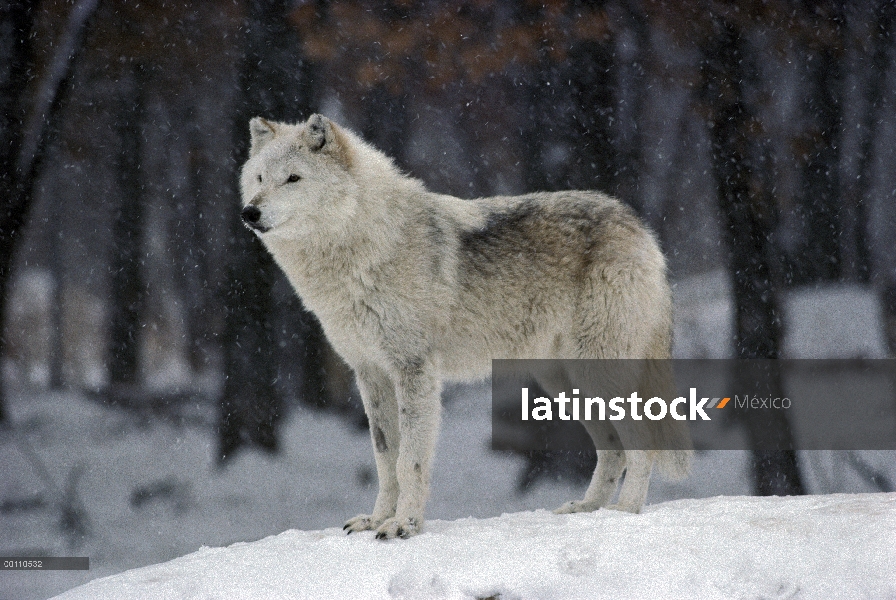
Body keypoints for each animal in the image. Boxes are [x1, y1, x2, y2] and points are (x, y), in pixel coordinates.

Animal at [238, 112, 692, 540]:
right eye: (259, 178)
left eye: (293, 178)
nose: (249, 212)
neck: (363, 248)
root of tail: (640, 227)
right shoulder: (370, 373)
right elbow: (385, 460)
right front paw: (377, 520)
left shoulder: (414, 370)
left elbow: (408, 461)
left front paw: (403, 526)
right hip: (567, 385)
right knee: (613, 450)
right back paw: (587, 510)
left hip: (597, 372)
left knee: (642, 445)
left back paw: (625, 513)